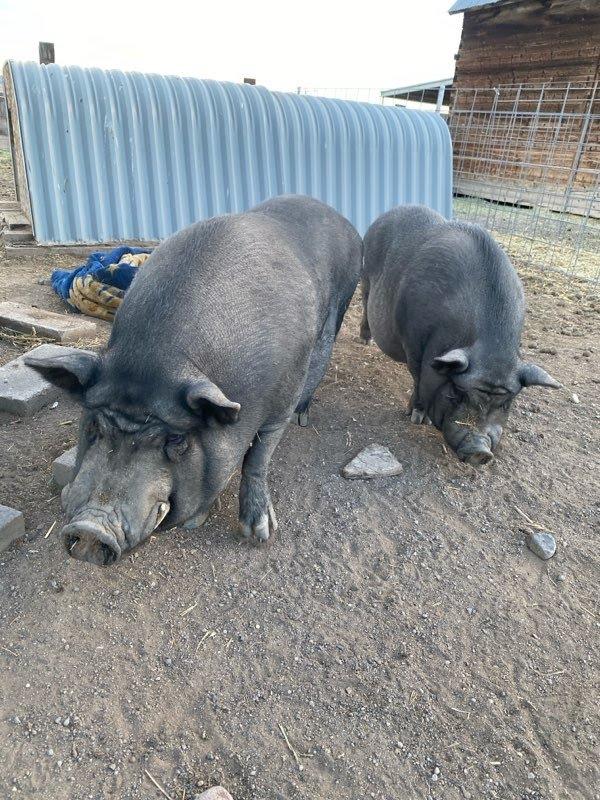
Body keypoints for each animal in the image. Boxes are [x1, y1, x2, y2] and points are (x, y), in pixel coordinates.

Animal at [26, 195, 362, 565]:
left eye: (175, 439)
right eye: (94, 426)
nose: (90, 529)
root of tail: (338, 217)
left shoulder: (281, 402)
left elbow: (258, 458)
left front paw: (259, 535)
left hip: (340, 308)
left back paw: (304, 417)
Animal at [360, 205, 560, 466]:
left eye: (506, 403)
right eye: (456, 392)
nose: (480, 451)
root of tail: (385, 214)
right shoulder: (413, 343)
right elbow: (417, 378)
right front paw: (417, 418)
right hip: (365, 273)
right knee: (364, 301)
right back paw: (365, 340)